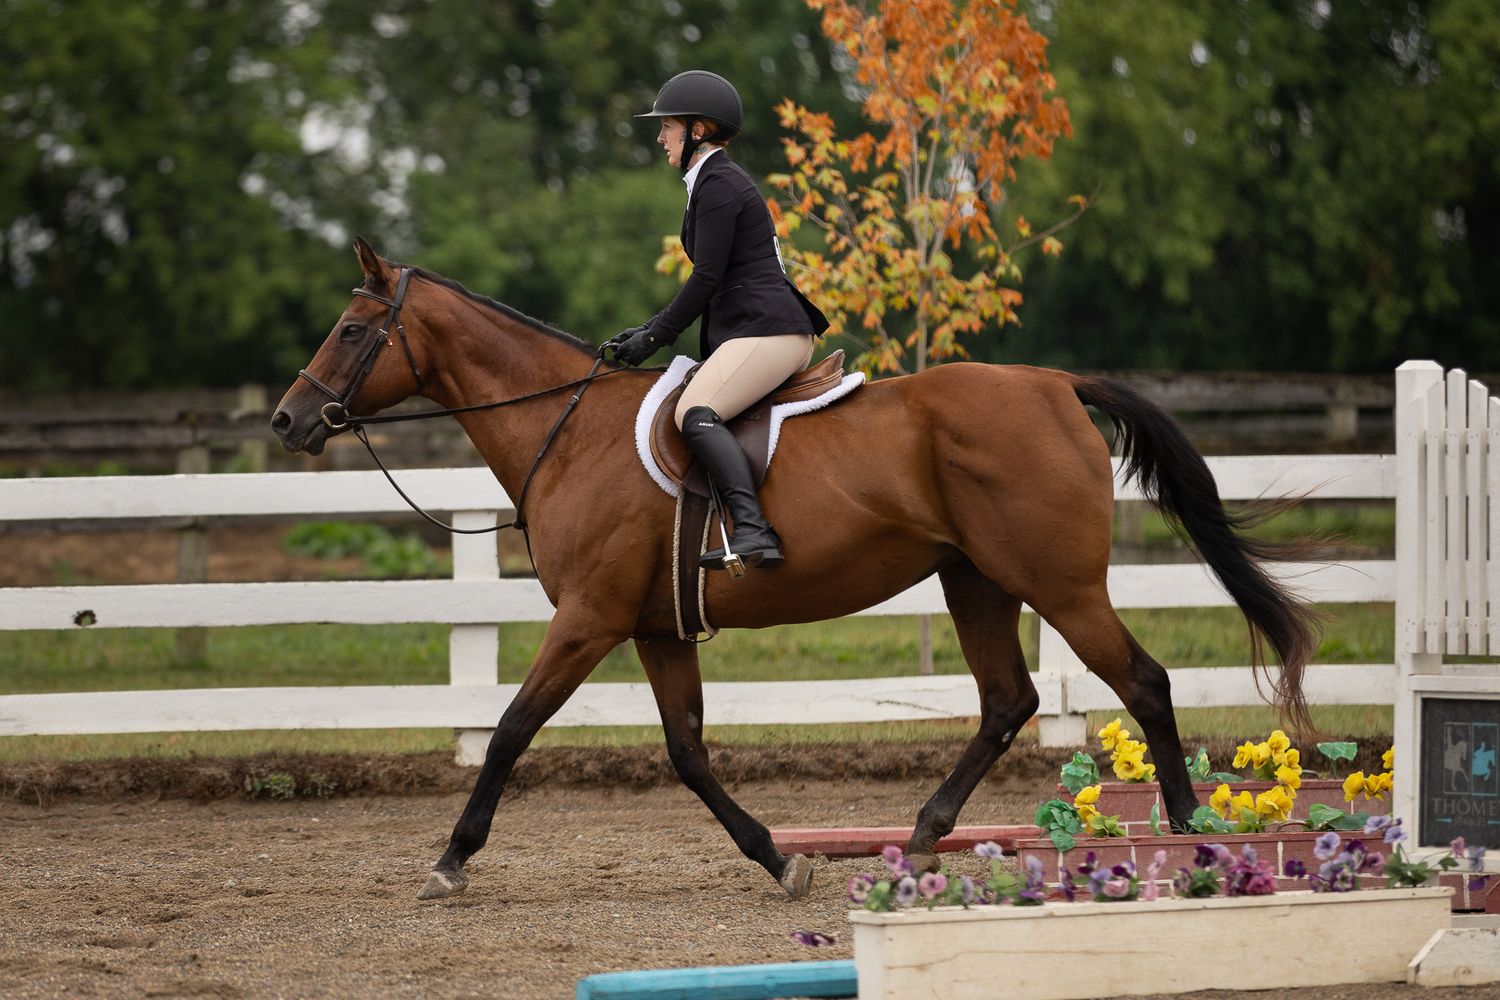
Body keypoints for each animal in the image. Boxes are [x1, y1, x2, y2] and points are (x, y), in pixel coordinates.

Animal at [272, 238, 1319, 901]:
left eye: (354, 331)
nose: (288, 420)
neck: (566, 431)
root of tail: (1055, 383)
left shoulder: (590, 620)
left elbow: (508, 732)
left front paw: (450, 861)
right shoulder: (655, 629)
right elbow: (688, 753)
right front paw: (781, 860)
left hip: (1057, 584)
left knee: (1142, 682)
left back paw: (1191, 842)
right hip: (974, 579)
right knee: (1007, 701)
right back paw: (922, 836)